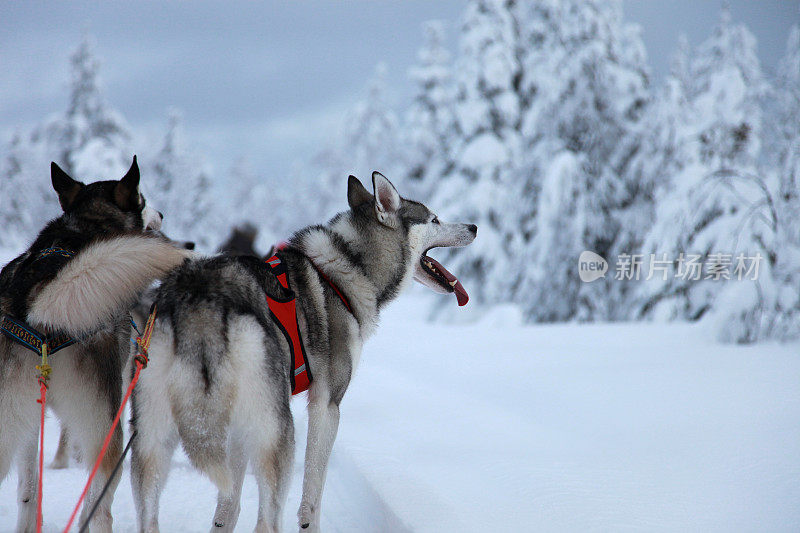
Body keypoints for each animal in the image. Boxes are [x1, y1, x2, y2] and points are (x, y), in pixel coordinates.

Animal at [0, 159, 191, 532]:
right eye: (142, 198)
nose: (161, 213)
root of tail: (38, 301)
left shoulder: (29, 422)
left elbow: (28, 492)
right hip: (107, 430)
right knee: (100, 508)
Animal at [128, 172, 472, 528]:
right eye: (434, 219)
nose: (474, 227)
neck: (350, 266)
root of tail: (201, 299)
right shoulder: (326, 404)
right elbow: (312, 494)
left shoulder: (239, 427)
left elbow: (228, 507)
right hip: (278, 433)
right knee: (267, 519)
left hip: (152, 438)